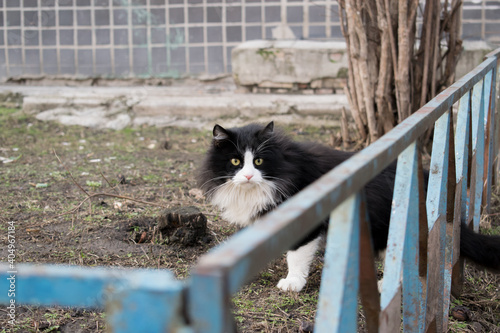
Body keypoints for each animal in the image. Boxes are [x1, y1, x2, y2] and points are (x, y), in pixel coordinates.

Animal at [198, 122, 500, 290]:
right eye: (236, 162)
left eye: (258, 161)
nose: (249, 176)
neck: (284, 168)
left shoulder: (306, 220)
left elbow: (296, 255)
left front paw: (293, 282)